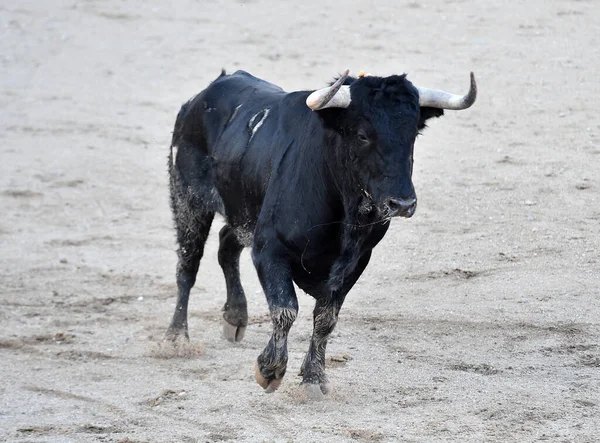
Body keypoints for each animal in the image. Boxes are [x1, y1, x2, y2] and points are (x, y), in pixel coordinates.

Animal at [165, 70, 478, 398]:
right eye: (363, 135)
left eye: (412, 135)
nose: (402, 204)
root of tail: (205, 94)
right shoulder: (268, 250)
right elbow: (285, 309)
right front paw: (270, 370)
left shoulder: (356, 261)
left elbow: (326, 317)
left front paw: (314, 377)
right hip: (187, 199)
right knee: (188, 264)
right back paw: (176, 339)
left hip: (240, 210)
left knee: (226, 243)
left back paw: (235, 317)